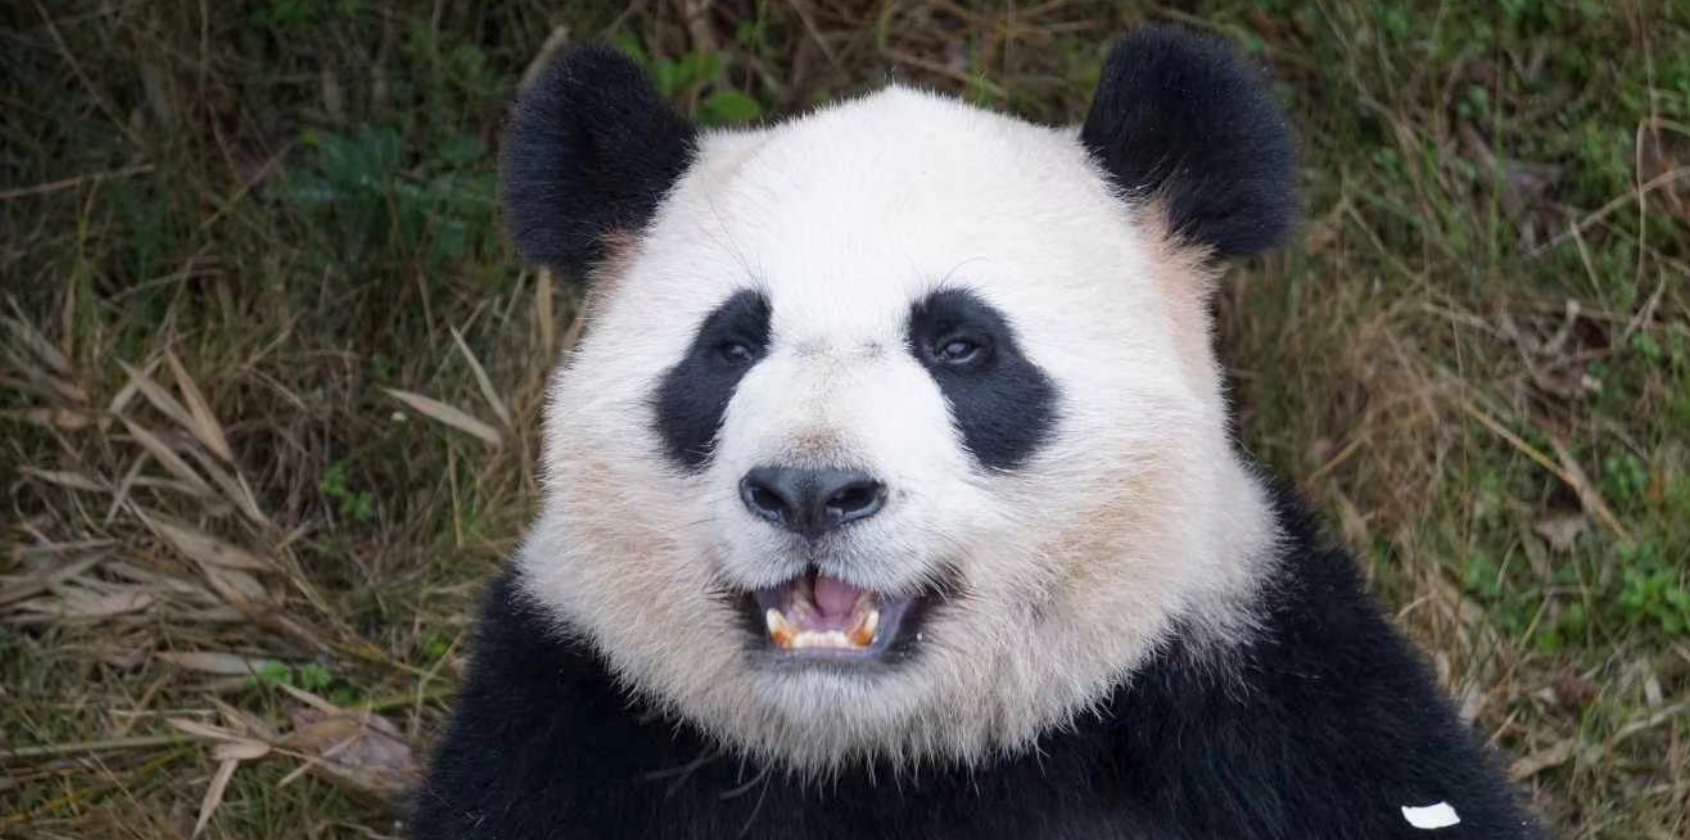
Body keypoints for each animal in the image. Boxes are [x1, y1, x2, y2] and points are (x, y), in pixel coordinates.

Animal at [414, 27, 1548, 840]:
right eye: (730, 346)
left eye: (960, 346)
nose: (812, 492)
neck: (881, 755)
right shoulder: (571, 720)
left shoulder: (1271, 704)